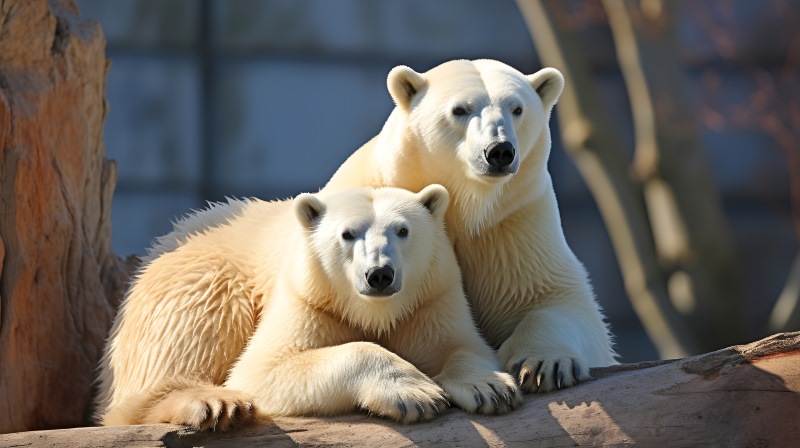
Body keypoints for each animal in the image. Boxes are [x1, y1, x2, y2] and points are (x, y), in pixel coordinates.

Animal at [94, 186, 520, 430]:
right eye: (348, 234)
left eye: (403, 230)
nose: (379, 275)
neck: (374, 309)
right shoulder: (307, 296)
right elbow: (267, 369)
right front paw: (415, 394)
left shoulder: (431, 298)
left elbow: (463, 345)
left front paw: (490, 388)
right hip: (193, 281)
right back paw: (217, 404)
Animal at [324, 59, 620, 392]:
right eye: (460, 109)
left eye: (517, 108)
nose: (499, 151)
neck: (463, 205)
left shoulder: (511, 221)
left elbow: (556, 297)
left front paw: (545, 364)